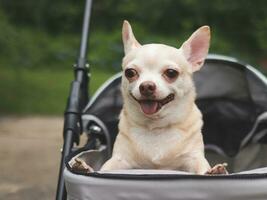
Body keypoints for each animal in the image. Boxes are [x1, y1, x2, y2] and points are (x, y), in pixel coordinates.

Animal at [101, 19, 227, 174]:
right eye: (130, 72)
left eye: (171, 73)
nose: (146, 86)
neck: (156, 127)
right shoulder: (120, 159)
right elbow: (104, 168)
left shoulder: (194, 158)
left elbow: (203, 168)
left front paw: (217, 171)